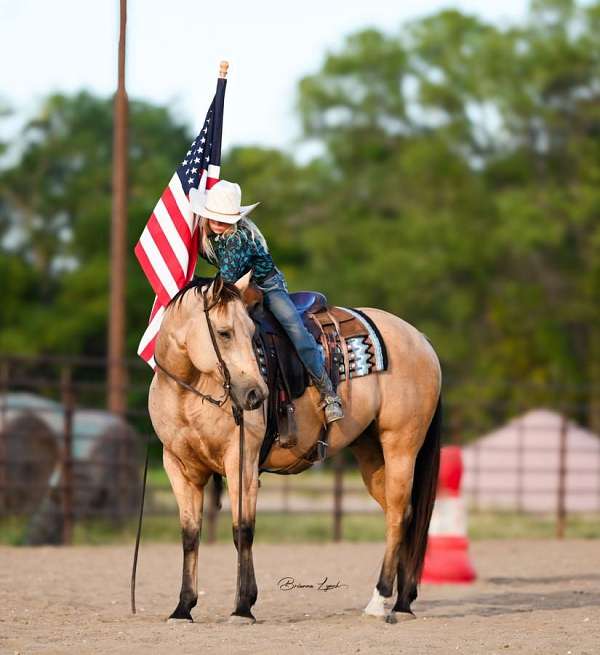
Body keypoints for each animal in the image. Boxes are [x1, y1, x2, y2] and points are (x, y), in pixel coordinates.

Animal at [148, 272, 442, 624]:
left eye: (251, 333)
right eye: (224, 332)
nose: (255, 394)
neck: (188, 391)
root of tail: (420, 339)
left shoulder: (241, 461)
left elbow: (242, 530)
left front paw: (243, 607)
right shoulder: (178, 466)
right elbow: (190, 534)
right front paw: (183, 608)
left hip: (401, 445)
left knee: (398, 515)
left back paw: (379, 601)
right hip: (372, 455)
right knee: (403, 516)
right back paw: (402, 602)